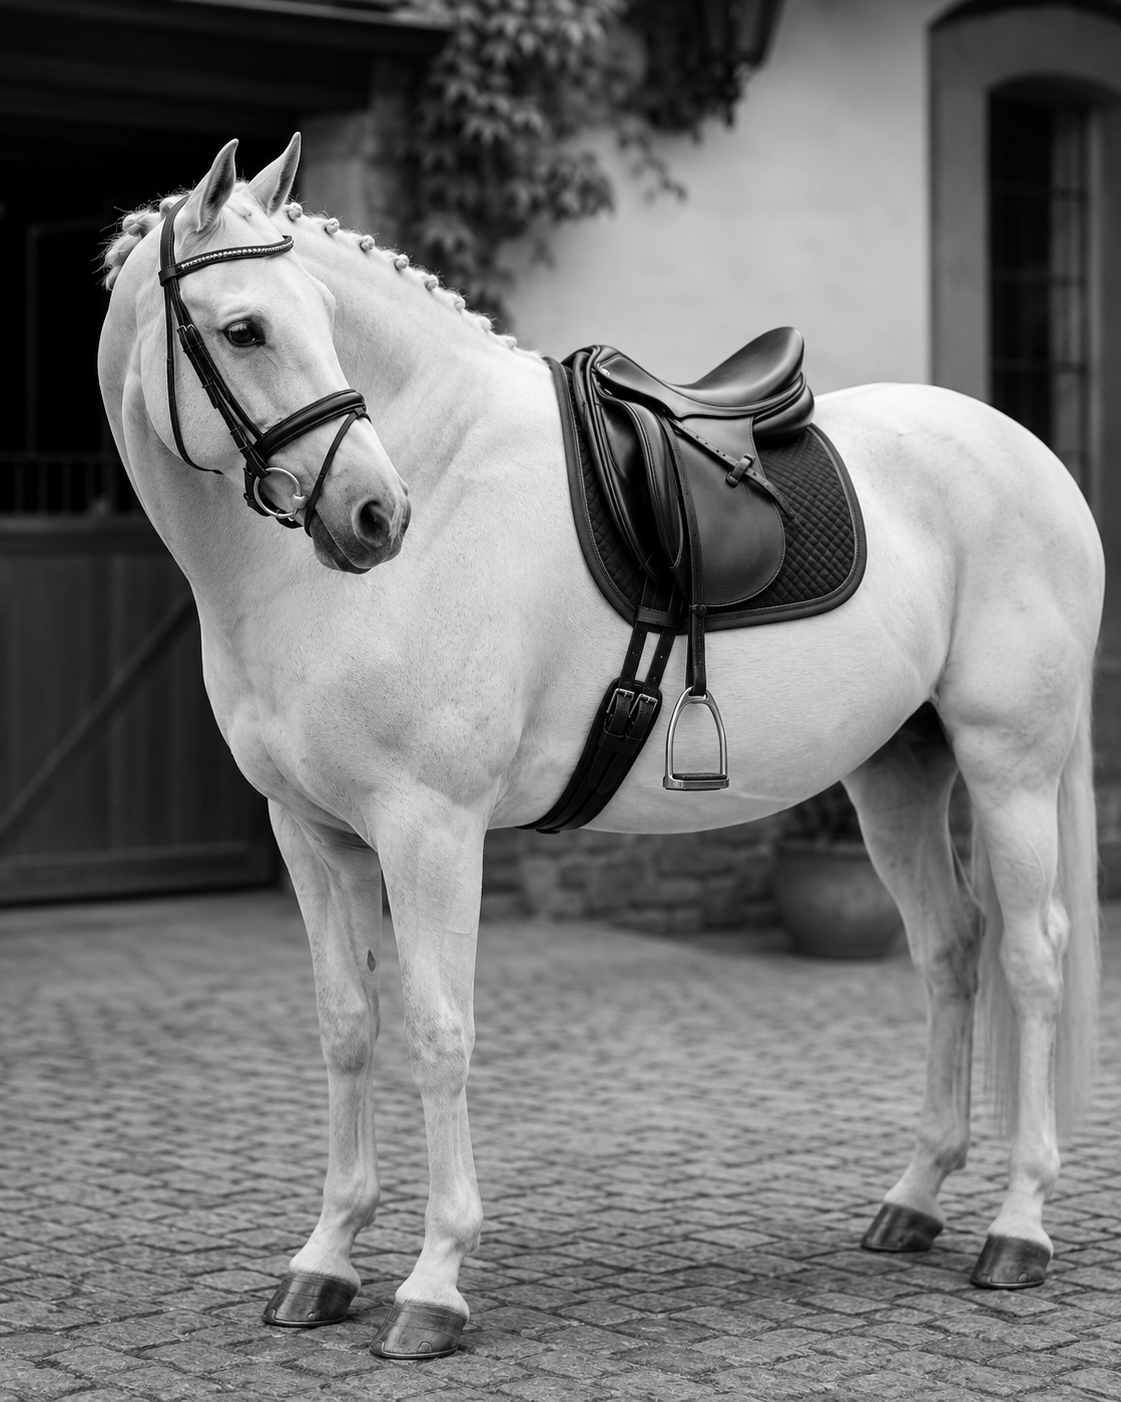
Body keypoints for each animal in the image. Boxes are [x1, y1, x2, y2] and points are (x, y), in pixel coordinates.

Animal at [98, 136, 1104, 1360]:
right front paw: (324, 1262)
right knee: (949, 951)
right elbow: (348, 1028)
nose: (377, 516)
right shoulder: (314, 835)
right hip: (896, 775)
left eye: (320, 324)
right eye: (243, 328)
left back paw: (1018, 1228)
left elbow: (437, 1030)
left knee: (1030, 957)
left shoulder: (430, 829)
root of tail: (1025, 452)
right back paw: (911, 1202)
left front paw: (433, 1285)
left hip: (1010, 764)